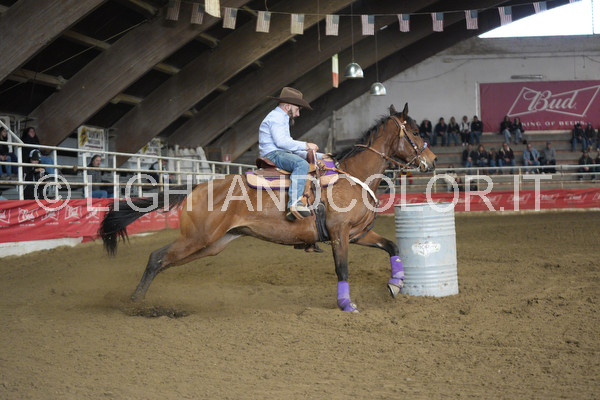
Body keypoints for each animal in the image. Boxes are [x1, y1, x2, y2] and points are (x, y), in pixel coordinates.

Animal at [99, 103, 436, 312]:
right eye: (415, 132)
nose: (432, 161)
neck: (353, 177)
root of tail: (197, 187)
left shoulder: (358, 234)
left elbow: (393, 246)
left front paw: (396, 285)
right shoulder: (339, 235)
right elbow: (342, 268)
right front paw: (347, 305)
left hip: (211, 245)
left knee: (164, 261)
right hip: (197, 238)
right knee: (156, 258)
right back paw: (133, 302)